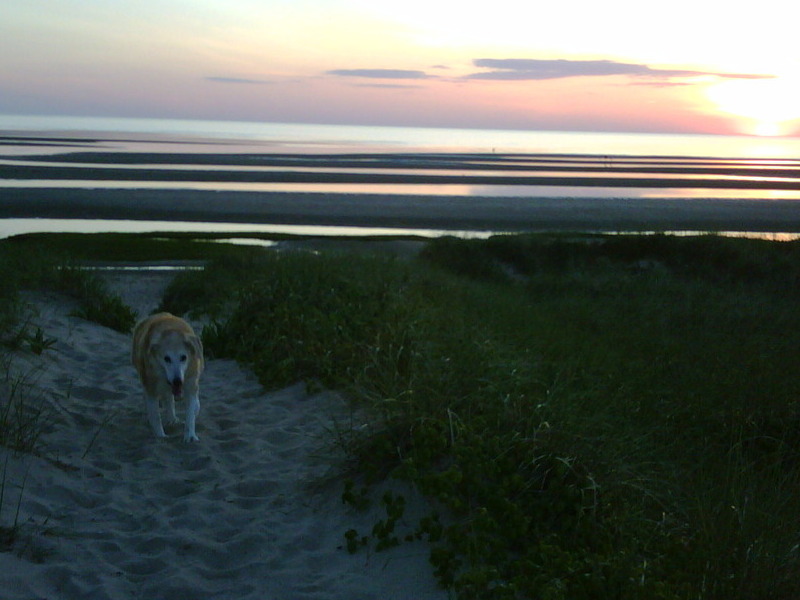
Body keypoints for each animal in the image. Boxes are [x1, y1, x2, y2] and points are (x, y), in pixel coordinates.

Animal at [132, 312, 205, 442]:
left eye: (183, 357)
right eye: (167, 358)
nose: (177, 381)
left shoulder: (190, 384)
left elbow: (190, 413)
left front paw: (190, 436)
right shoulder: (151, 388)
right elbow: (155, 416)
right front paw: (160, 436)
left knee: (169, 399)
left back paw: (172, 419)